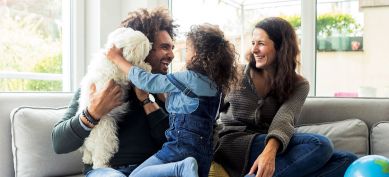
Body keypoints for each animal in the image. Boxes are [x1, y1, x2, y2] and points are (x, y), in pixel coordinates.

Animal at [77, 27, 152, 168]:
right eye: (144, 48)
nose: (150, 45)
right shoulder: (120, 73)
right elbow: (132, 69)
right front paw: (146, 66)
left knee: (87, 151)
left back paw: (87, 158)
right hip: (106, 133)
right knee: (100, 155)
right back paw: (101, 165)